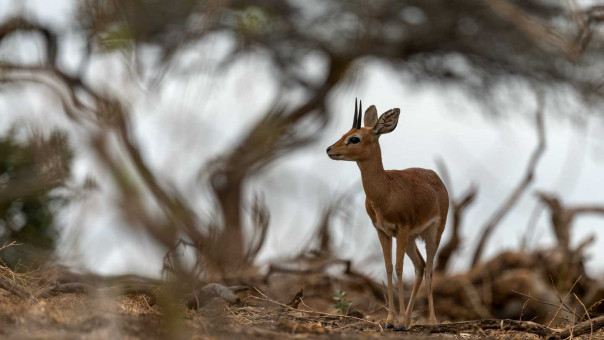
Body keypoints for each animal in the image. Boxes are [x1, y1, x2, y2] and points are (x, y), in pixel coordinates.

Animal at [326, 98, 448, 330]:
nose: (329, 149)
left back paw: (431, 321)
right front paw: (391, 320)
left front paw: (397, 321)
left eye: (354, 138)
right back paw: (408, 320)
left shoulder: (401, 229)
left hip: (432, 234)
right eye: (346, 132)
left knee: (429, 269)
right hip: (411, 239)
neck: (385, 190)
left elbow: (399, 269)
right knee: (419, 266)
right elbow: (389, 268)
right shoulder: (383, 231)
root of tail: (437, 178)